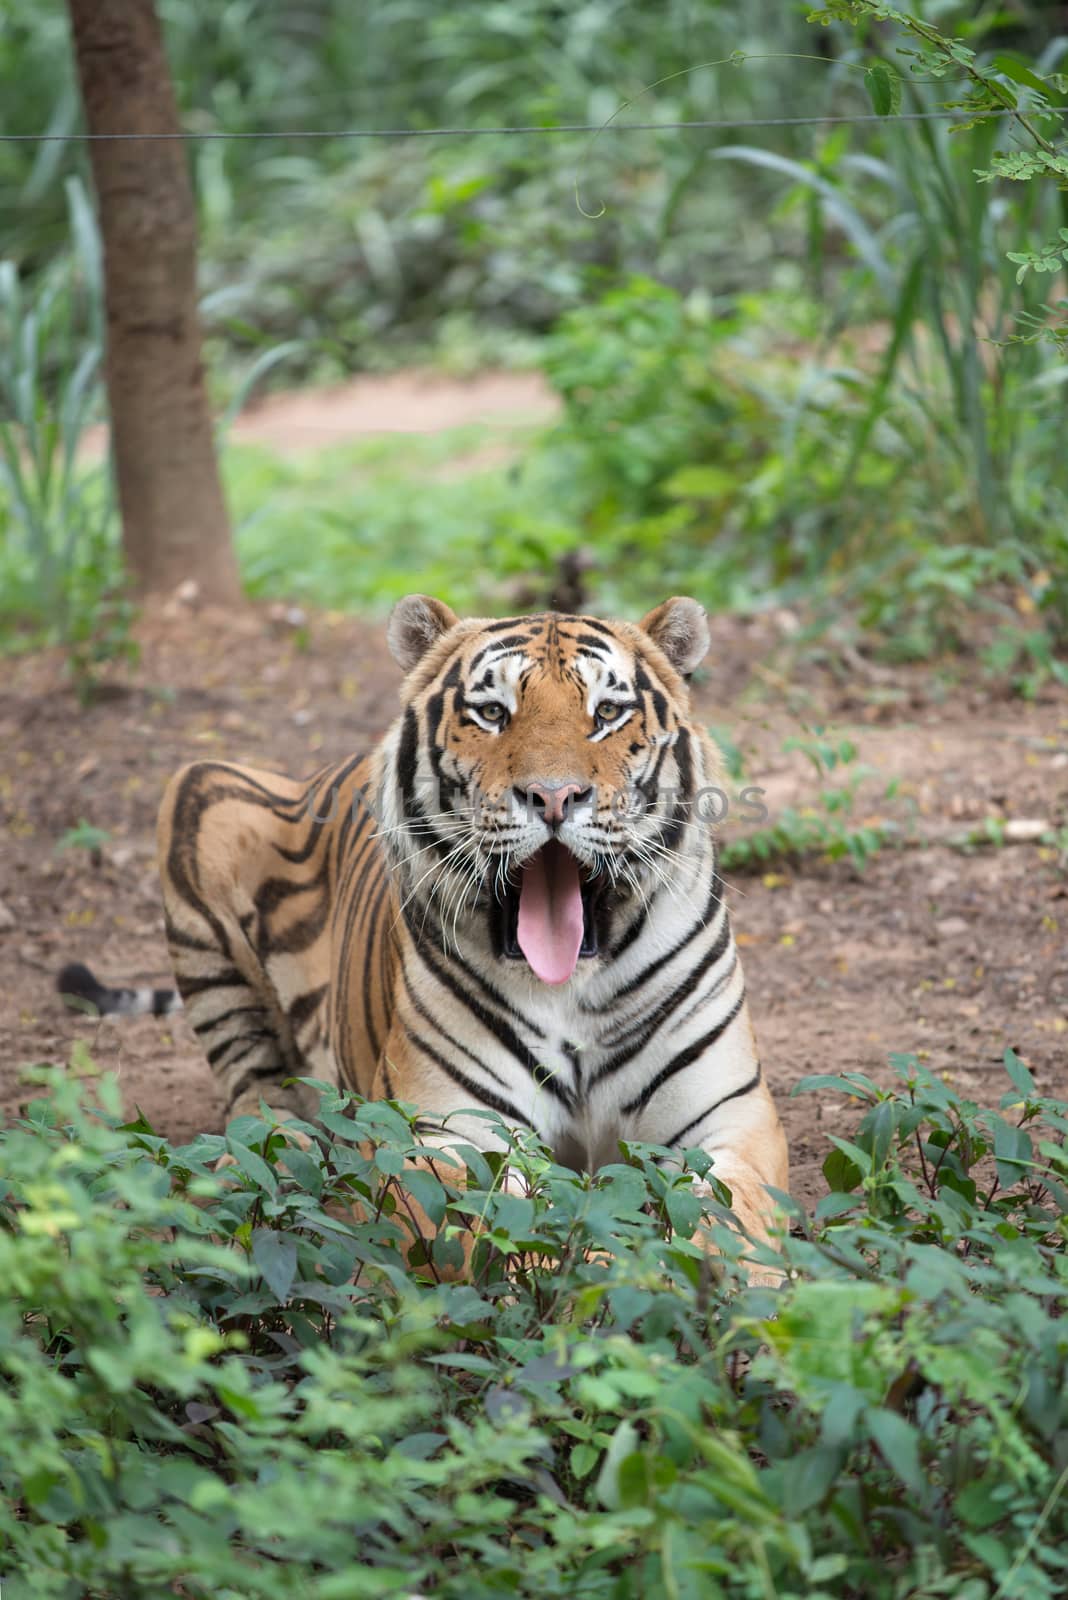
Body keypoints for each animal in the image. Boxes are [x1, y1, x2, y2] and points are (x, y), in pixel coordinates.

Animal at [60, 601, 793, 1260]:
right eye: (493, 713)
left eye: (607, 714)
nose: (555, 797)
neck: (572, 983)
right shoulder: (444, 1134)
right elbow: (514, 1242)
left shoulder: (730, 1117)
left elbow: (730, 1220)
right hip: (198, 789)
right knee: (254, 1097)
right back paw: (272, 1158)